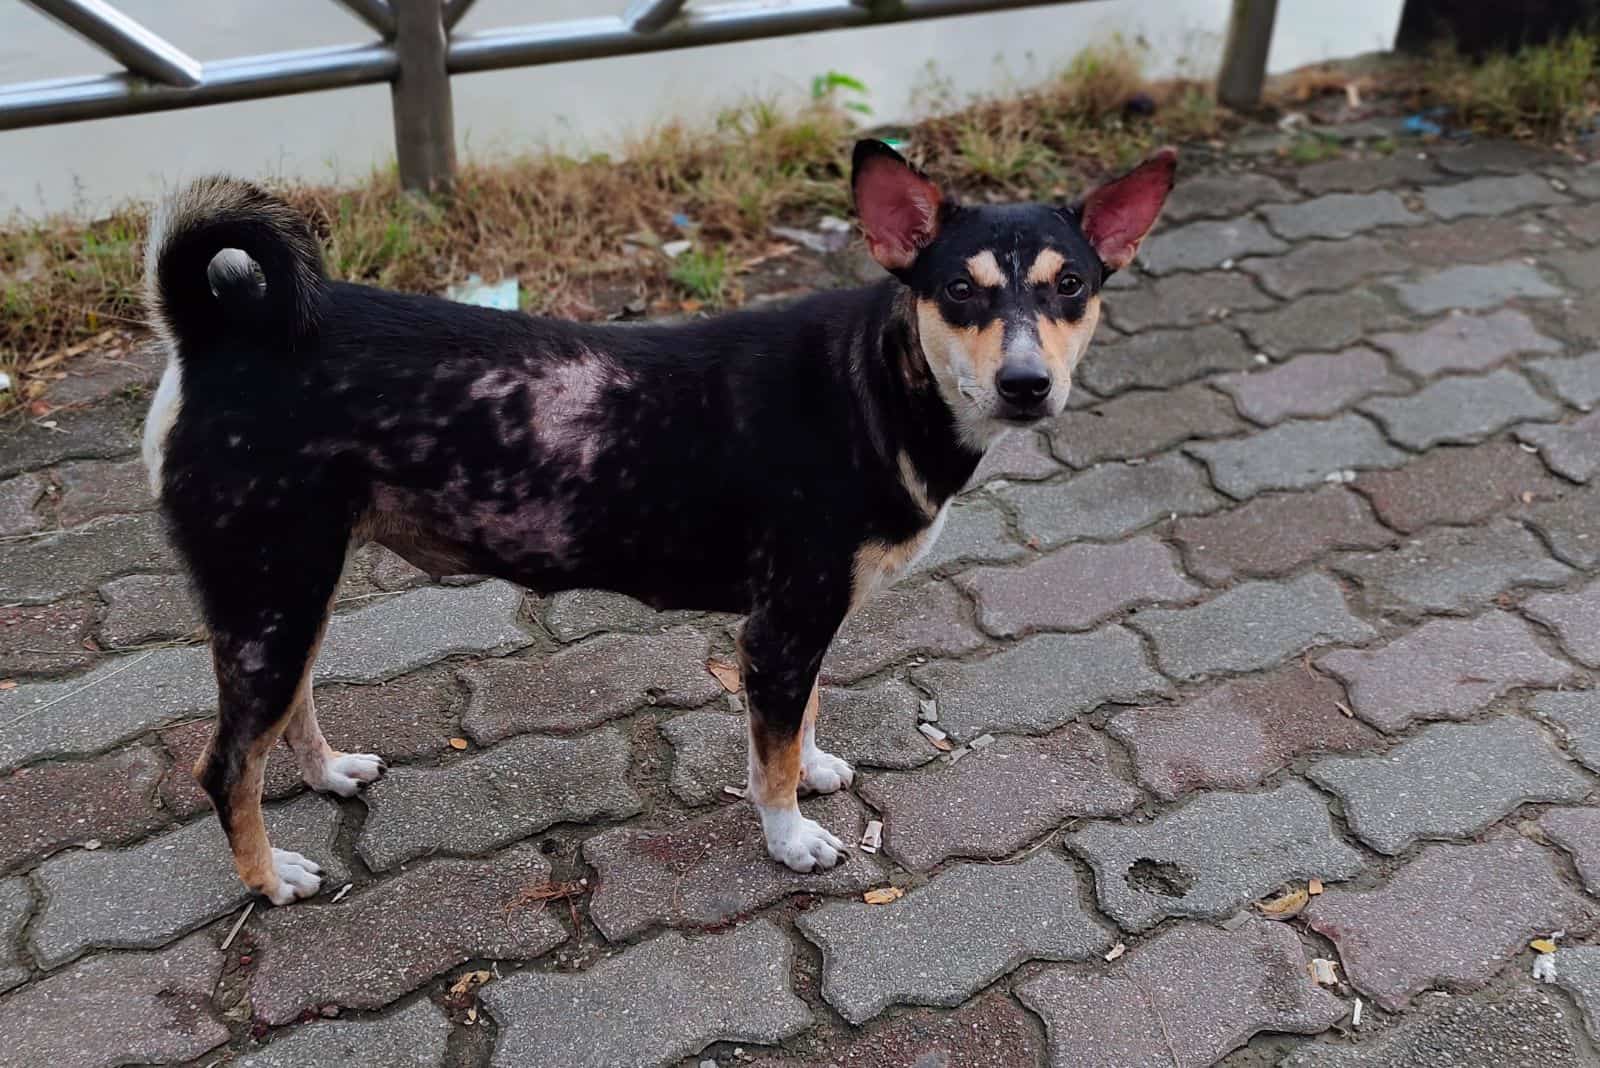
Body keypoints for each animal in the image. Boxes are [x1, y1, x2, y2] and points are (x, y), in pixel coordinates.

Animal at [140, 133, 1177, 901]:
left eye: (1072, 286)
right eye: (960, 289)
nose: (1026, 384)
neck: (877, 386)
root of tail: (219, 334)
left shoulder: (804, 628)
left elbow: (801, 722)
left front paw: (816, 764)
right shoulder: (782, 627)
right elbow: (768, 762)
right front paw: (791, 836)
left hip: (290, 593)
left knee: (288, 716)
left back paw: (326, 774)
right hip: (270, 595)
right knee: (224, 765)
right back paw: (269, 880)